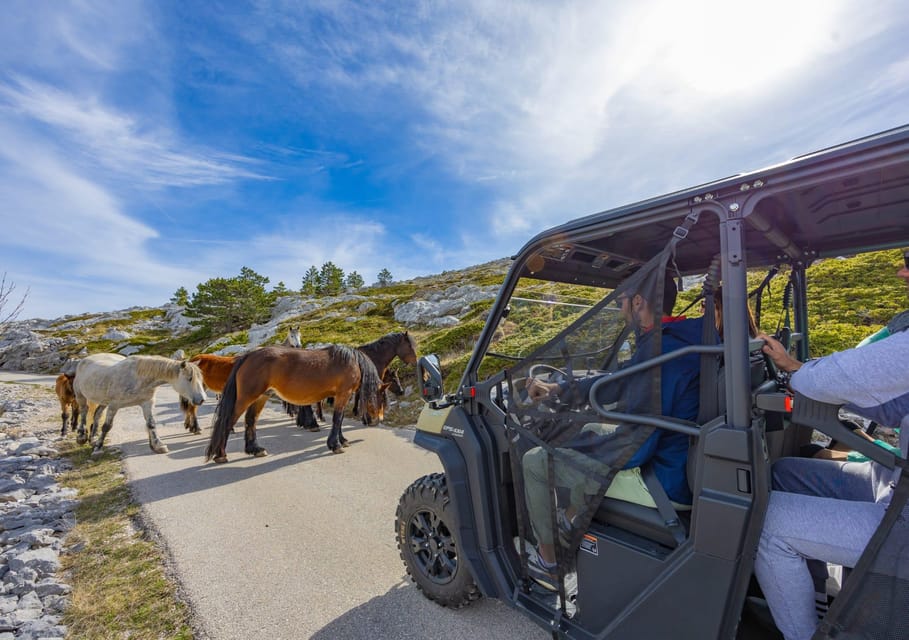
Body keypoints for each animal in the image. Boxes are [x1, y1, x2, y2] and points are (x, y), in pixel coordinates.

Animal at [74, 356, 206, 456]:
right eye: (189, 378)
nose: (202, 399)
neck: (138, 378)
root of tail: (84, 360)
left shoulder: (147, 403)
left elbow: (151, 424)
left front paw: (158, 445)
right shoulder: (113, 406)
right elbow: (107, 427)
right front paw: (98, 448)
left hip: (103, 401)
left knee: (96, 414)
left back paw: (93, 439)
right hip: (81, 396)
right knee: (84, 411)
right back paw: (81, 437)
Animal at [204, 342, 384, 462]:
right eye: (381, 398)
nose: (377, 420)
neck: (352, 362)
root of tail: (248, 355)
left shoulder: (340, 396)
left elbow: (338, 421)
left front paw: (342, 440)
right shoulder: (343, 394)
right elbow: (337, 419)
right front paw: (336, 445)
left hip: (261, 397)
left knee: (251, 420)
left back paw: (255, 449)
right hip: (246, 398)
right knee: (228, 421)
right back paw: (220, 454)